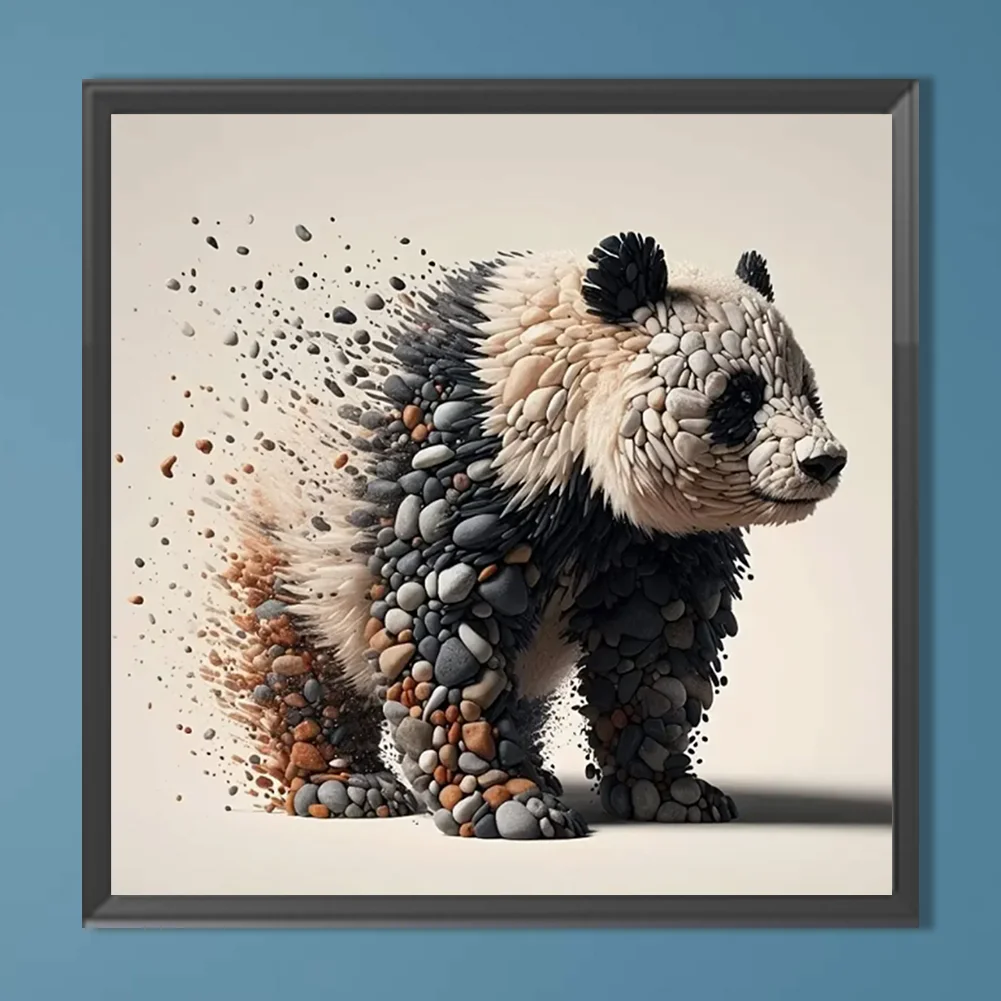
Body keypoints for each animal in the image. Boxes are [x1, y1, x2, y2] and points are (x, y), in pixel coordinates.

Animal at [230, 232, 847, 839]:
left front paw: (673, 793)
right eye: (741, 397)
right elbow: (442, 633)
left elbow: (656, 650)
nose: (825, 461)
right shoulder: (460, 464)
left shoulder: (652, 539)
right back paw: (347, 786)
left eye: (809, 392)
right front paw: (508, 803)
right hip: (293, 541)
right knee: (300, 663)